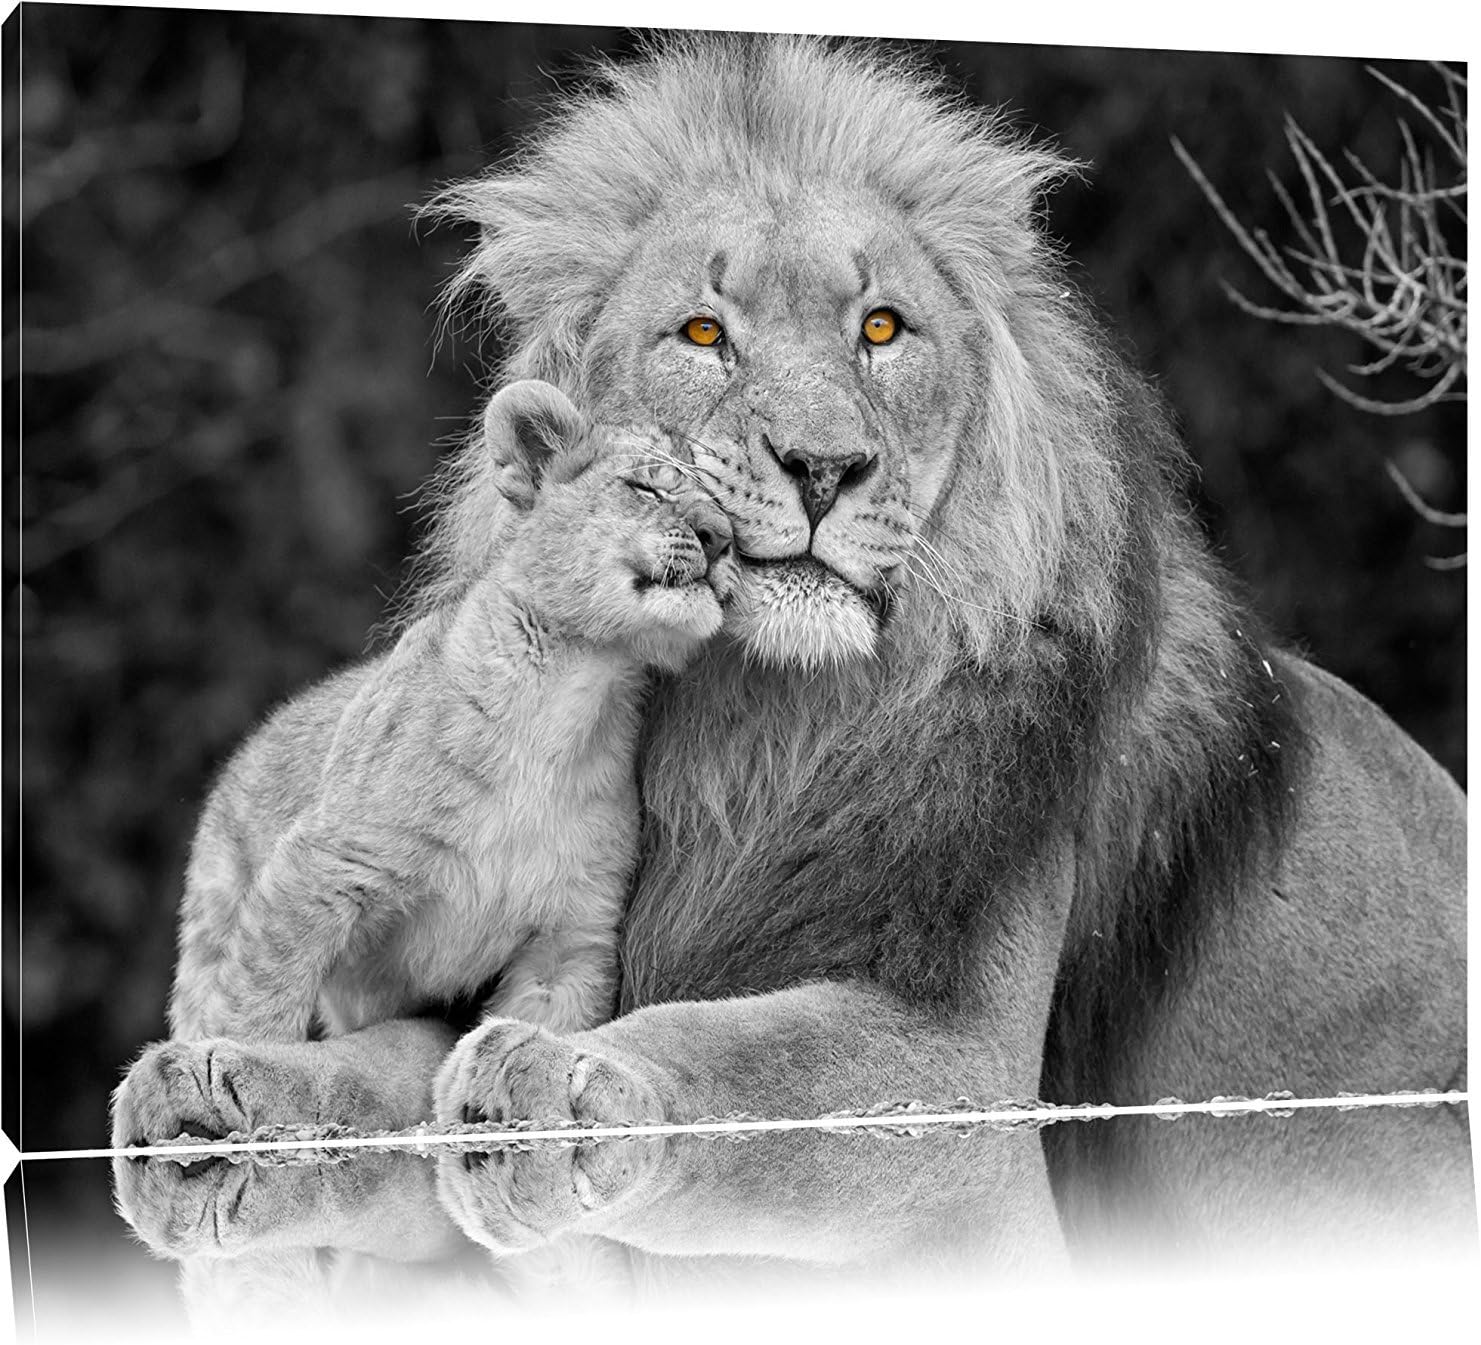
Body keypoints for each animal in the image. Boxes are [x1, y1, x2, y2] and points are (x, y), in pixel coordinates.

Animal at [113, 33, 1469, 1280]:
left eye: (881, 327)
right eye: (703, 333)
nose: (824, 466)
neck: (761, 726)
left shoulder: (954, 1043)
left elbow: (718, 1040)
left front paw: (557, 1067)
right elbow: (380, 1054)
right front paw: (218, 1075)